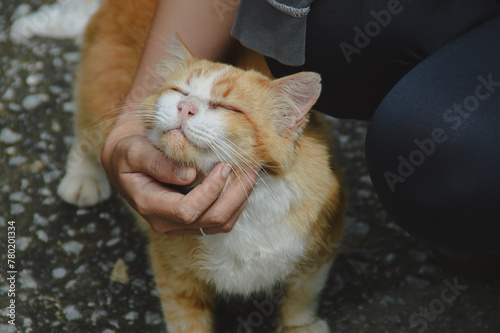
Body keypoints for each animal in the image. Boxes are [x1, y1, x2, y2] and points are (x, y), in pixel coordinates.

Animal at [55, 1, 344, 330]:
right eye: (179, 91)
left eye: (227, 107)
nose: (186, 107)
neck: (247, 211)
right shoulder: (175, 275)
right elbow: (187, 321)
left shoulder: (322, 249)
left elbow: (302, 296)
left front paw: (300, 326)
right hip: (100, 90)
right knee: (86, 133)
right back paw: (82, 177)